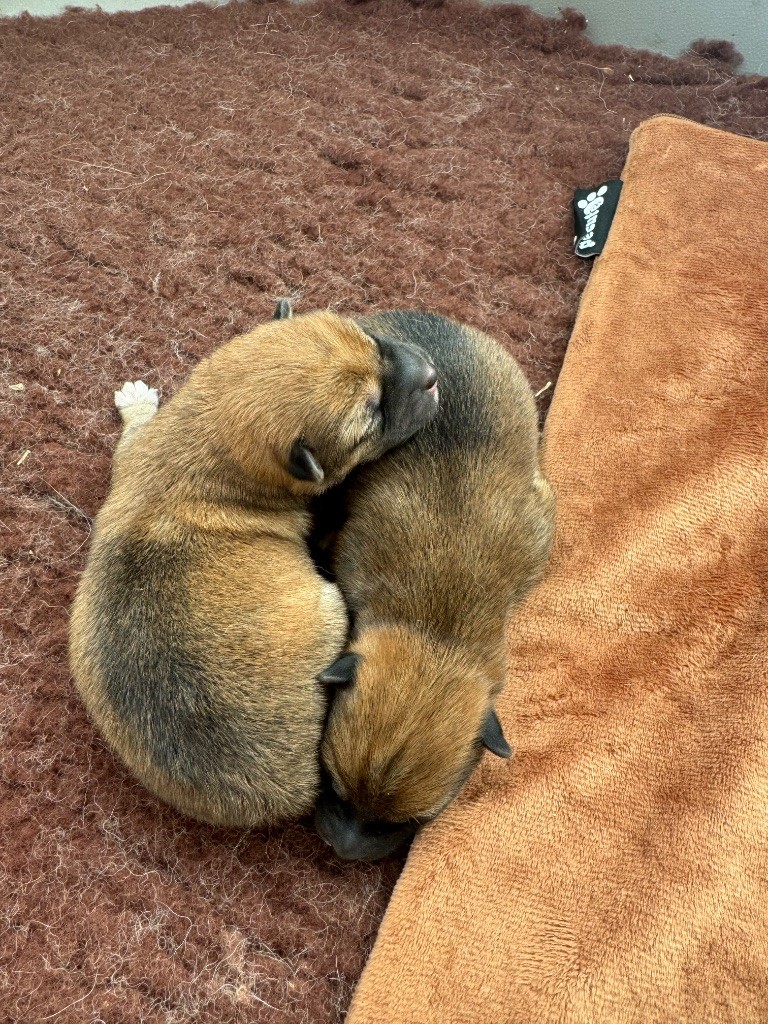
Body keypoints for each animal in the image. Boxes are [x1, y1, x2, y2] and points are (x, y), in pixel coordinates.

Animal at [69, 299, 442, 827]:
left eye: (369, 338)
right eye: (371, 412)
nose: (432, 375)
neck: (203, 436)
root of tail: (286, 795)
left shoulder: (137, 450)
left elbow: (130, 438)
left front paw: (135, 403)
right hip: (329, 608)